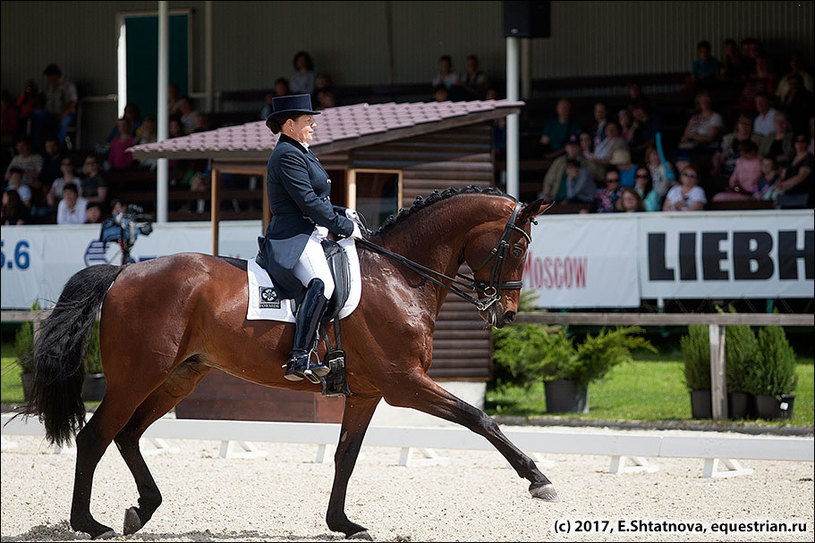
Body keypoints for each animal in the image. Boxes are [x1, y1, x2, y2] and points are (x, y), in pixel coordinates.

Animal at [19, 186, 556, 540]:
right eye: (519, 246)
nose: (506, 313)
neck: (400, 276)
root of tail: (123, 272)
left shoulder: (367, 392)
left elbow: (345, 456)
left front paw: (343, 523)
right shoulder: (405, 383)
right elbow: (479, 418)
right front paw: (538, 480)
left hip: (178, 377)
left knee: (128, 435)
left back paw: (142, 509)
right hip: (137, 377)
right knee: (96, 436)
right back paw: (89, 524)